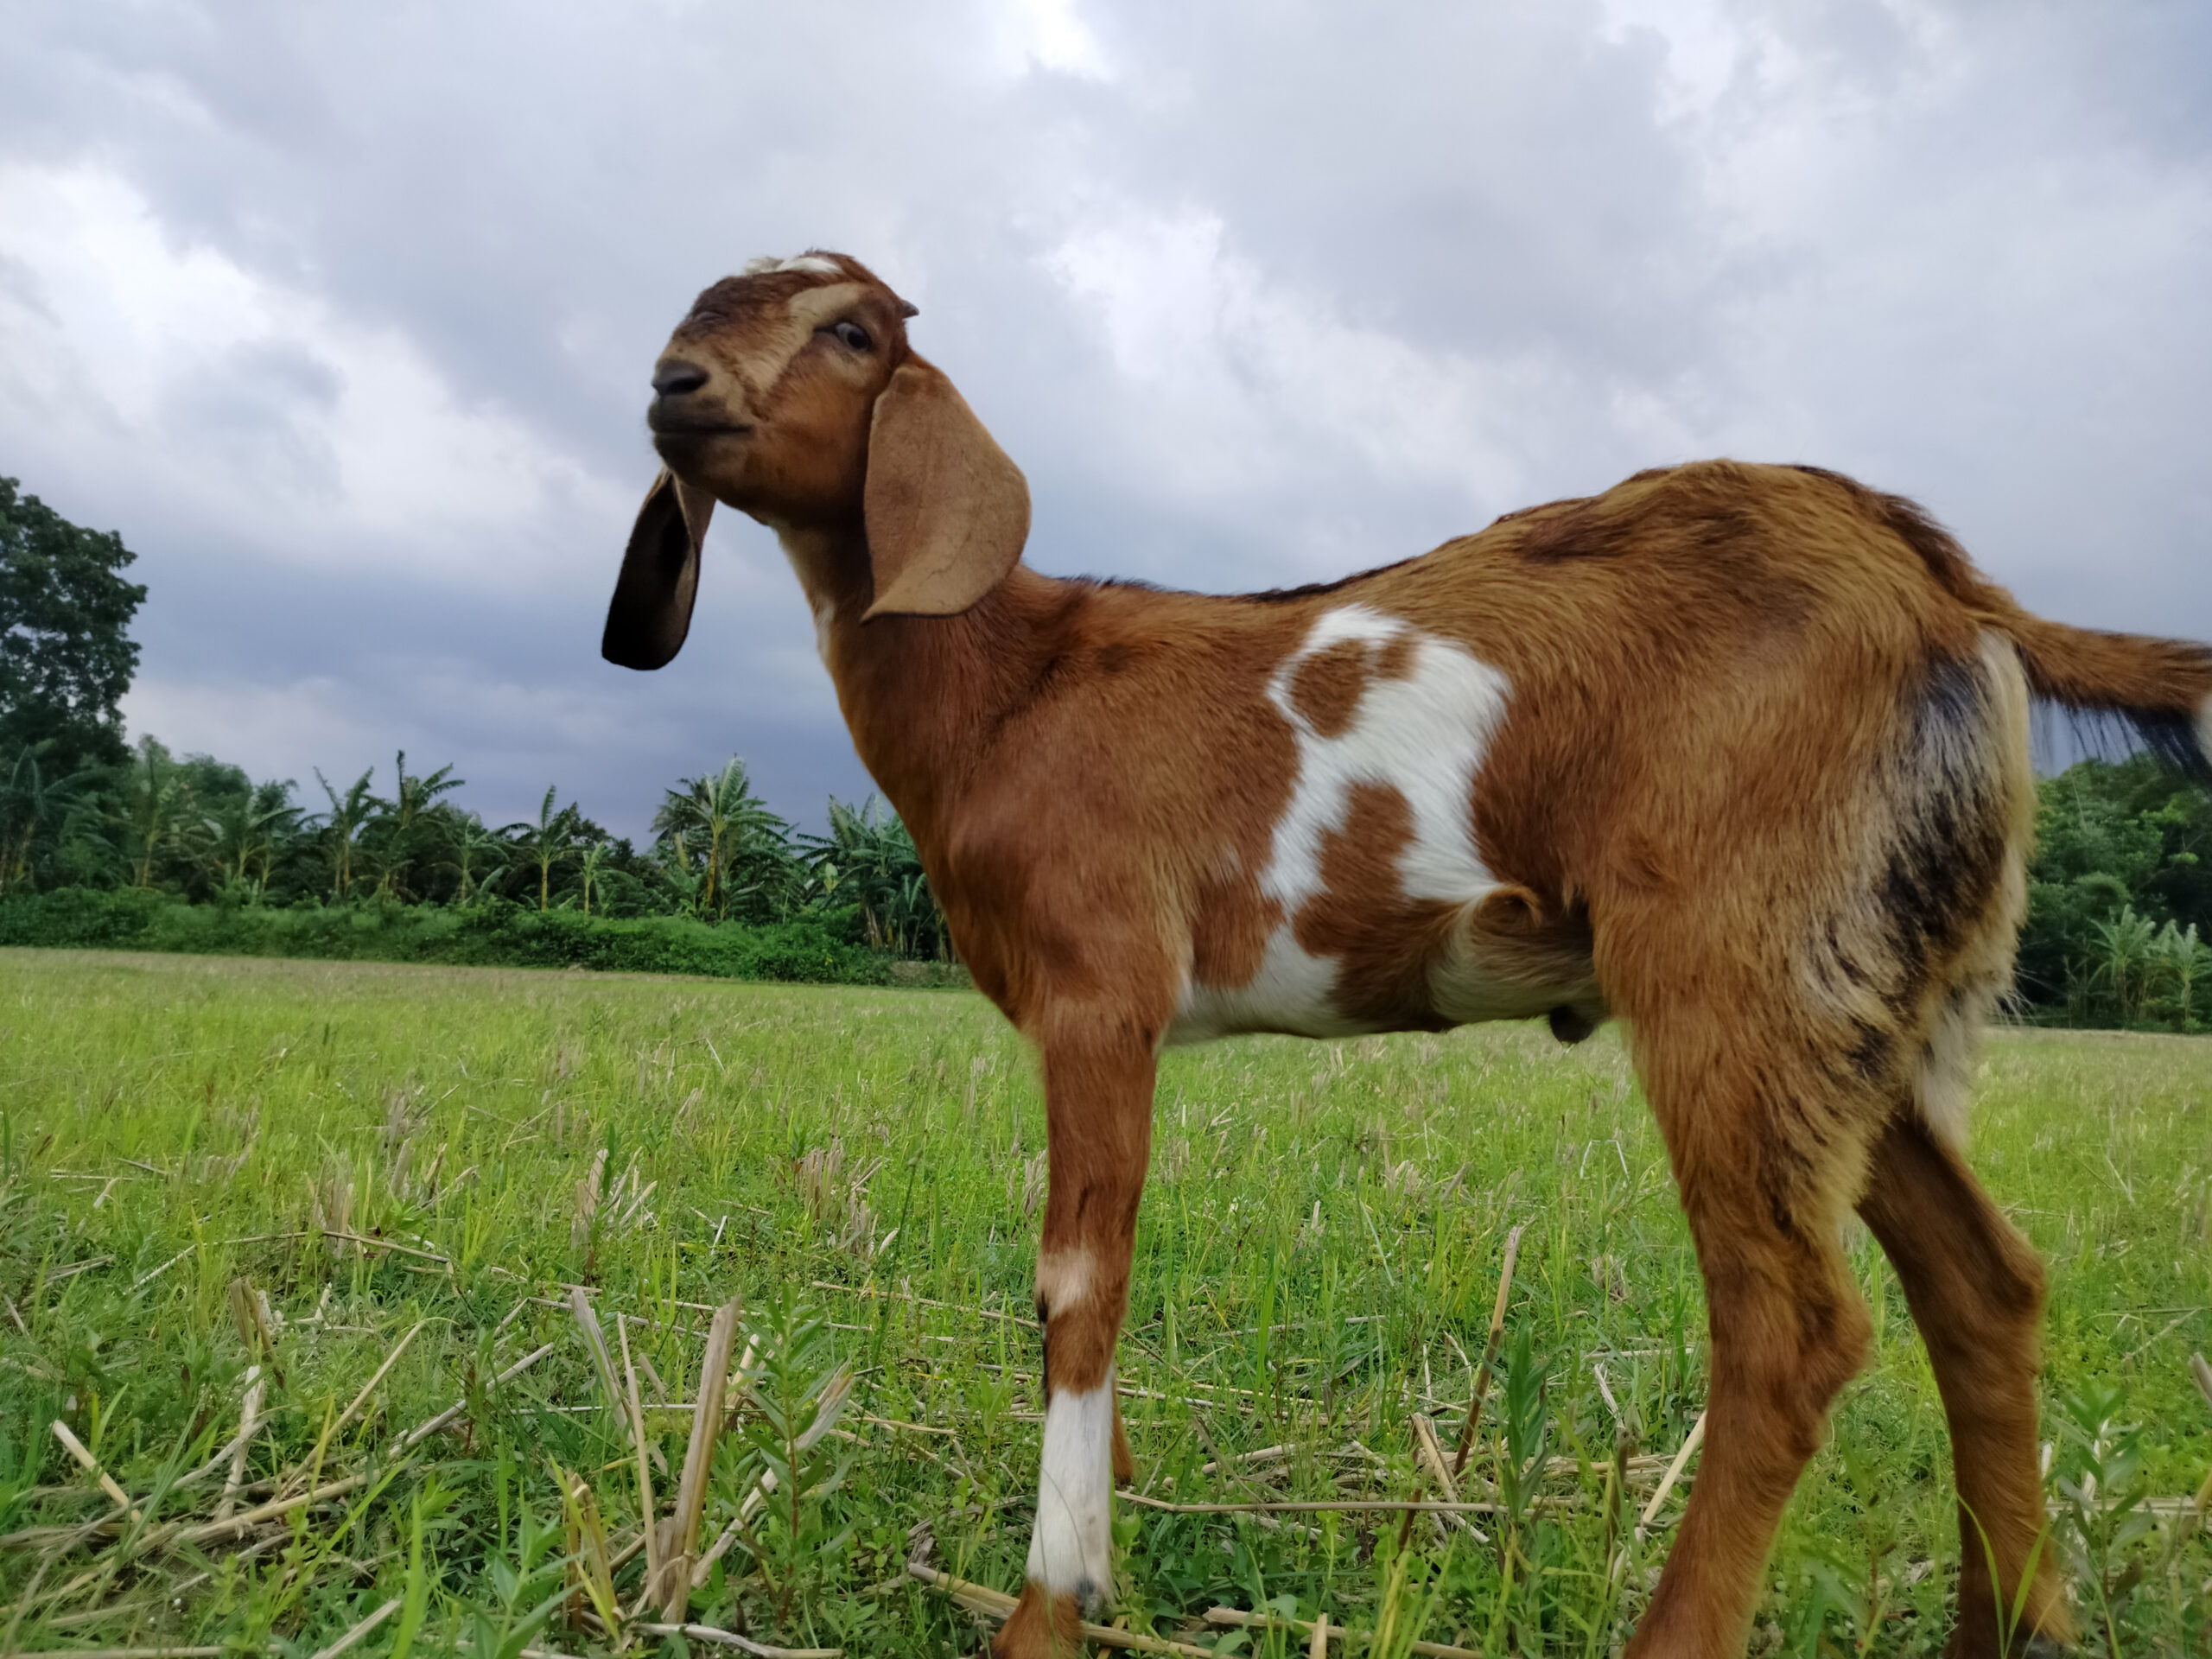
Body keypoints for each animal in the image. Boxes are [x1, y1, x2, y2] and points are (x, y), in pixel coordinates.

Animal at [604, 250, 2212, 1658]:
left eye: (853, 332)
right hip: (1868, 987)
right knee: (1982, 1282)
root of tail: (1952, 588)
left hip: (1737, 959)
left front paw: (1053, 1608)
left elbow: (1078, 1286)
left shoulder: (1102, 989)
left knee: (1792, 1325)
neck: (1015, 687)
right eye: (694, 306)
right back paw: (2010, 1629)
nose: (674, 384)